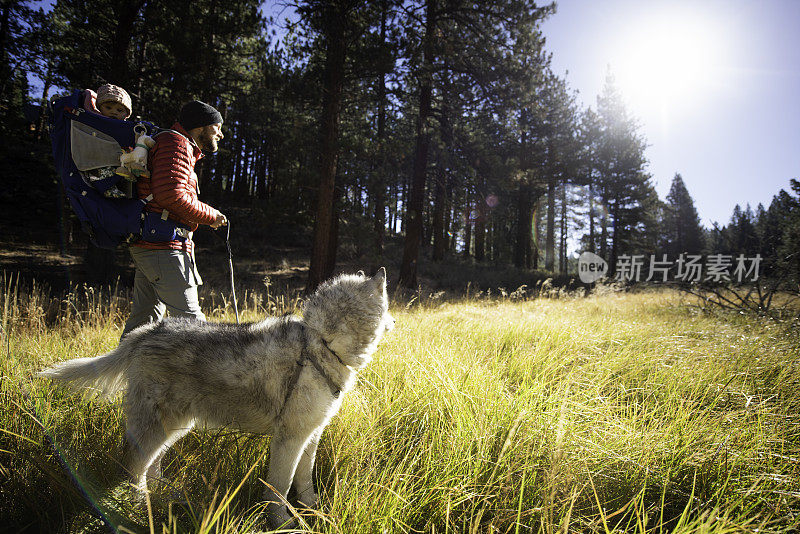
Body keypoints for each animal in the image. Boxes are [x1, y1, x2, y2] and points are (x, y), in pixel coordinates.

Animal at [39, 268, 396, 528]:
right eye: (389, 303)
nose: (395, 321)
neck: (321, 343)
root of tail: (145, 333)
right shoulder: (289, 439)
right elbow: (279, 488)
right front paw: (283, 522)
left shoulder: (310, 435)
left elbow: (304, 482)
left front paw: (314, 510)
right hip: (159, 425)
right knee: (133, 467)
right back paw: (137, 506)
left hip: (176, 425)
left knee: (152, 466)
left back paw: (165, 494)